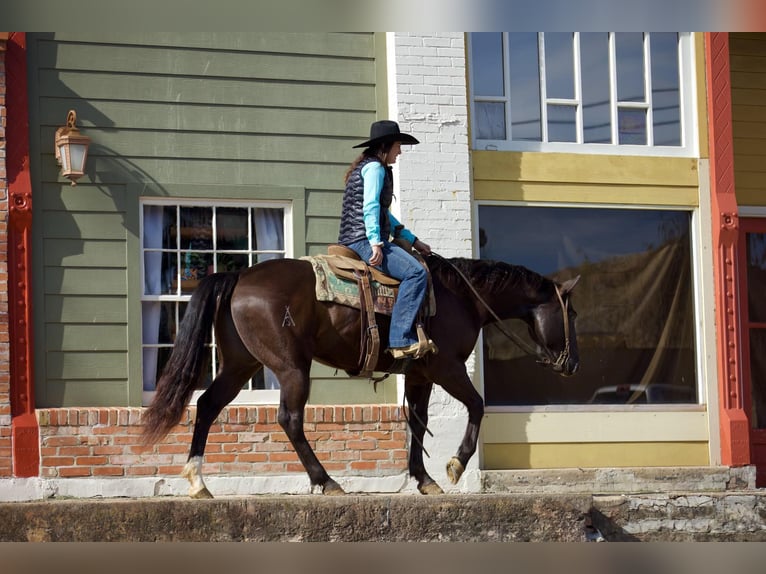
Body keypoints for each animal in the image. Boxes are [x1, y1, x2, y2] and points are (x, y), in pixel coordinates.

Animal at [141, 253, 580, 500]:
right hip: (291, 367)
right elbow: (477, 404)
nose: (573, 364)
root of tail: (239, 277)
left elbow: (417, 423)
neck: (462, 297)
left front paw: (423, 479)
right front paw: (455, 464)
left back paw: (198, 482)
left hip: (240, 365)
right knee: (290, 419)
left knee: (207, 404)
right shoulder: (447, 367)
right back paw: (326, 481)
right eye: (572, 313)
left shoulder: (419, 374)